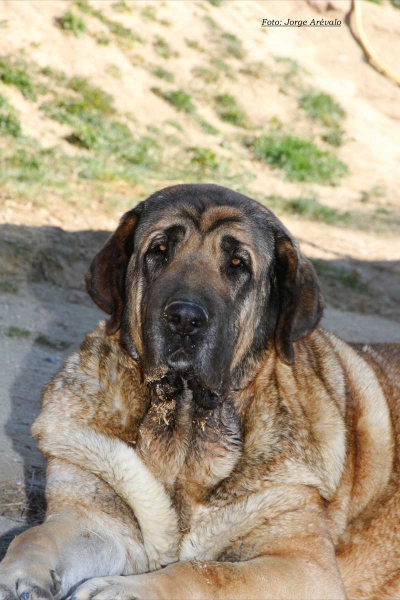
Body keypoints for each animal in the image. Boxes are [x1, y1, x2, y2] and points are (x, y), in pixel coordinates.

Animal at [0, 184, 400, 600]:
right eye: (159, 250)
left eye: (238, 263)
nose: (184, 319)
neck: (185, 423)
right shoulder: (93, 515)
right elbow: (35, 537)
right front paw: (17, 576)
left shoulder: (304, 564)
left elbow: (206, 572)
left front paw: (124, 590)